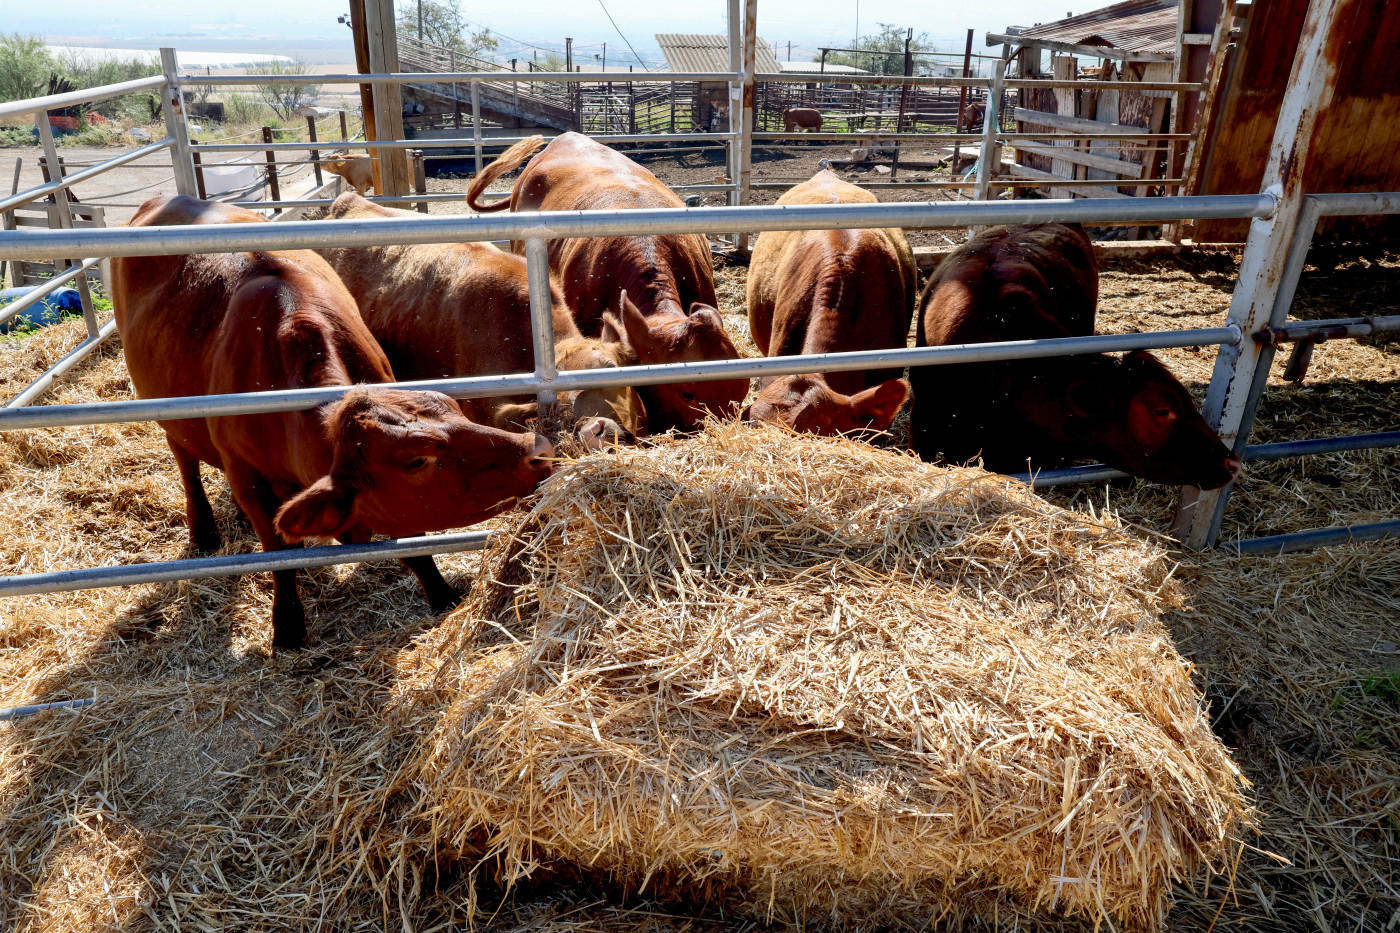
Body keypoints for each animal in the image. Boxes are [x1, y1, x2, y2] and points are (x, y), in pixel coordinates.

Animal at [114, 194, 554, 647]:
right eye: (416, 461)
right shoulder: (247, 476)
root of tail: (167, 198)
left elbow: (412, 543)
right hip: (167, 412)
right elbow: (280, 553)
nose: (537, 450)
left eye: (453, 407)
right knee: (185, 461)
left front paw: (441, 594)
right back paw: (203, 531)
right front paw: (288, 626)